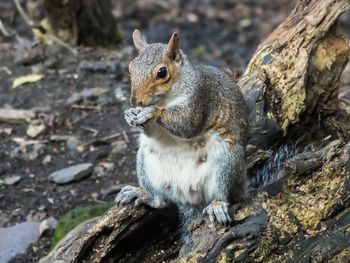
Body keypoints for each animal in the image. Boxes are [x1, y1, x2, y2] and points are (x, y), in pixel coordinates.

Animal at [116, 29, 292, 233]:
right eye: (130, 68)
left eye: (162, 72)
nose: (135, 101)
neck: (165, 99)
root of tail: (188, 198)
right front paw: (130, 114)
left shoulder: (200, 98)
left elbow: (186, 124)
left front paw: (151, 112)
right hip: (146, 161)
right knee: (161, 201)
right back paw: (142, 194)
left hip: (226, 161)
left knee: (226, 196)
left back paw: (218, 205)